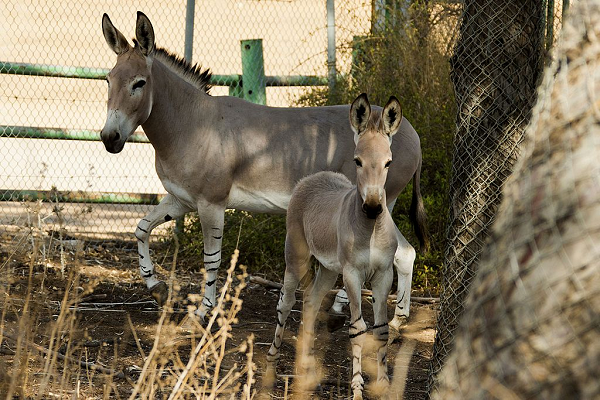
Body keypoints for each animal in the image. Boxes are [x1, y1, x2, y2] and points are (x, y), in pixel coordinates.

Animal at [268, 94, 400, 396]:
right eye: (357, 161)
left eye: (388, 162)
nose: (373, 208)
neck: (371, 230)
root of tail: (315, 176)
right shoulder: (352, 274)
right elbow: (357, 329)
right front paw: (357, 390)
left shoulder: (384, 274)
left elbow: (381, 329)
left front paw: (384, 386)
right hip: (296, 256)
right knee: (286, 301)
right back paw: (271, 363)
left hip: (328, 269)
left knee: (311, 301)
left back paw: (304, 370)